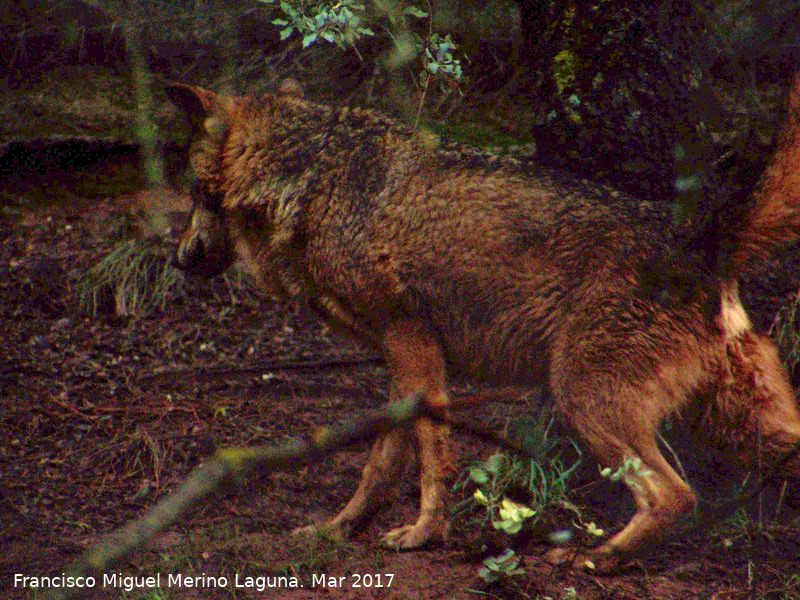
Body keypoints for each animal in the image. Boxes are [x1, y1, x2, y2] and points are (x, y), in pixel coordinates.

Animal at [167, 75, 800, 571]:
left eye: (194, 192)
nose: (180, 259)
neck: (310, 178)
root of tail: (702, 243)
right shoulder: (401, 364)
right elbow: (379, 464)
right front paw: (338, 529)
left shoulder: (412, 344)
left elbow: (429, 460)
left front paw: (424, 535)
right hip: (738, 420)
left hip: (583, 399)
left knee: (676, 496)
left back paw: (599, 559)